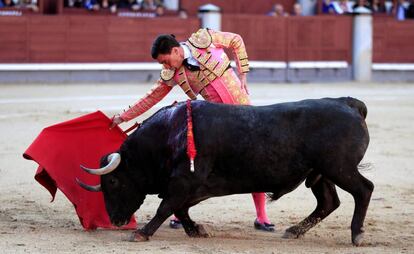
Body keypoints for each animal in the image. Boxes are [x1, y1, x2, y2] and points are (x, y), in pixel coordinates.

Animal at [77, 97, 372, 246]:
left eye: (113, 181)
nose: (115, 220)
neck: (169, 134)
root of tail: (348, 104)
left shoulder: (185, 181)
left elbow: (166, 207)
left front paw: (141, 233)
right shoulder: (196, 187)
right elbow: (179, 209)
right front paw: (196, 230)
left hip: (339, 168)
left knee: (364, 190)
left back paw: (356, 235)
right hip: (320, 174)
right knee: (328, 202)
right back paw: (294, 231)